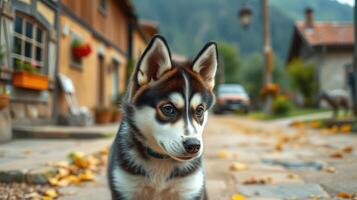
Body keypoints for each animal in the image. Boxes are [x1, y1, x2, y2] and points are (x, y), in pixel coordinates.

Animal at [107, 35, 216, 199]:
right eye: (168, 109)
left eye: (199, 110)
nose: (194, 145)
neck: (161, 162)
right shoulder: (125, 188)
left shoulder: (190, 189)